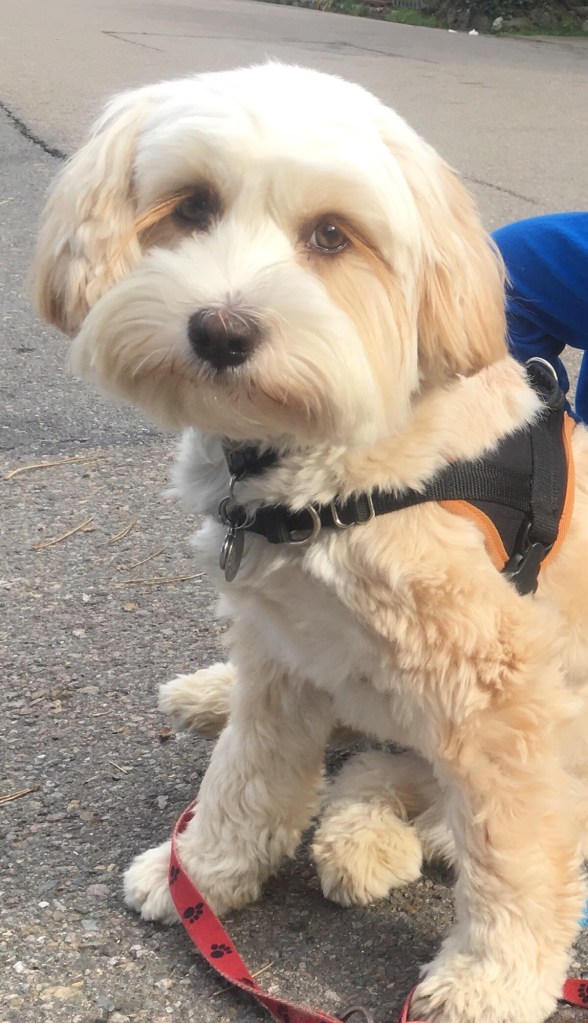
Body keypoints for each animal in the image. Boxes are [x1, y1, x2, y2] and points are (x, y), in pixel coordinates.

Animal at [32, 63, 588, 1023]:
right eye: (192, 205)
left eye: (332, 235)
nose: (220, 330)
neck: (320, 466)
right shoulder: (283, 644)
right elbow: (247, 771)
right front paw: (201, 870)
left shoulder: (499, 695)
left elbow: (516, 853)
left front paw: (493, 979)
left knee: (439, 799)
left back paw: (374, 840)